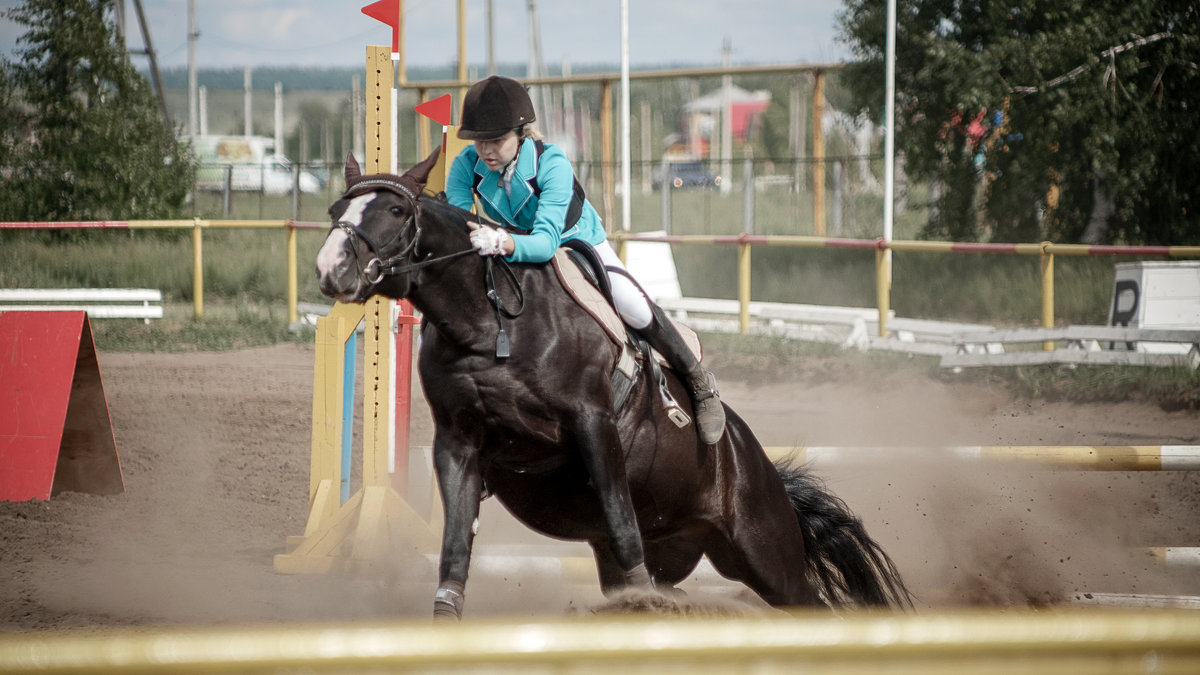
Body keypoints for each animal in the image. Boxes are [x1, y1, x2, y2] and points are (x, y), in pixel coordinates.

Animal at [314, 154, 912, 619]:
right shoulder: (457, 445)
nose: (329, 270)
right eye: (335, 211)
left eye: (396, 211)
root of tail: (756, 461)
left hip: (765, 554)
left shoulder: (593, 423)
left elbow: (622, 527)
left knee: (806, 599)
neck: (488, 326)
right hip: (683, 548)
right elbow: (456, 549)